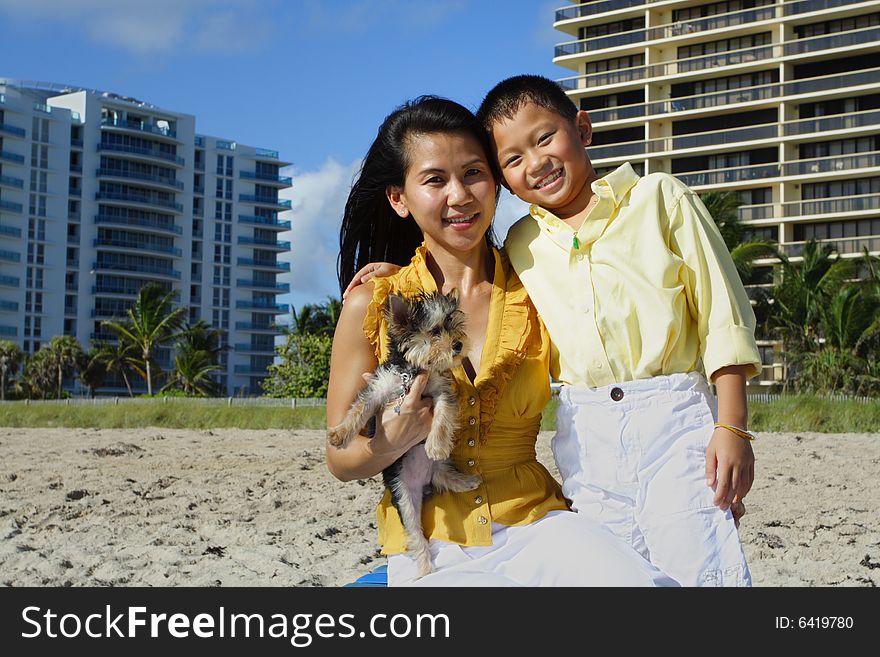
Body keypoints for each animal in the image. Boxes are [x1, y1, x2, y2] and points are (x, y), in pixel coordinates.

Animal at [328, 290, 482, 576]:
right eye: (434, 331)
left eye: (454, 326)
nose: (458, 345)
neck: (412, 371)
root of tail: (422, 482)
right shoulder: (379, 387)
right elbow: (359, 408)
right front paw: (340, 434)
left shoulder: (440, 391)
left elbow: (442, 416)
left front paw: (436, 445)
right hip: (403, 495)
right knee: (416, 533)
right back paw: (426, 568)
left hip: (435, 470)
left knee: (445, 474)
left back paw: (466, 481)